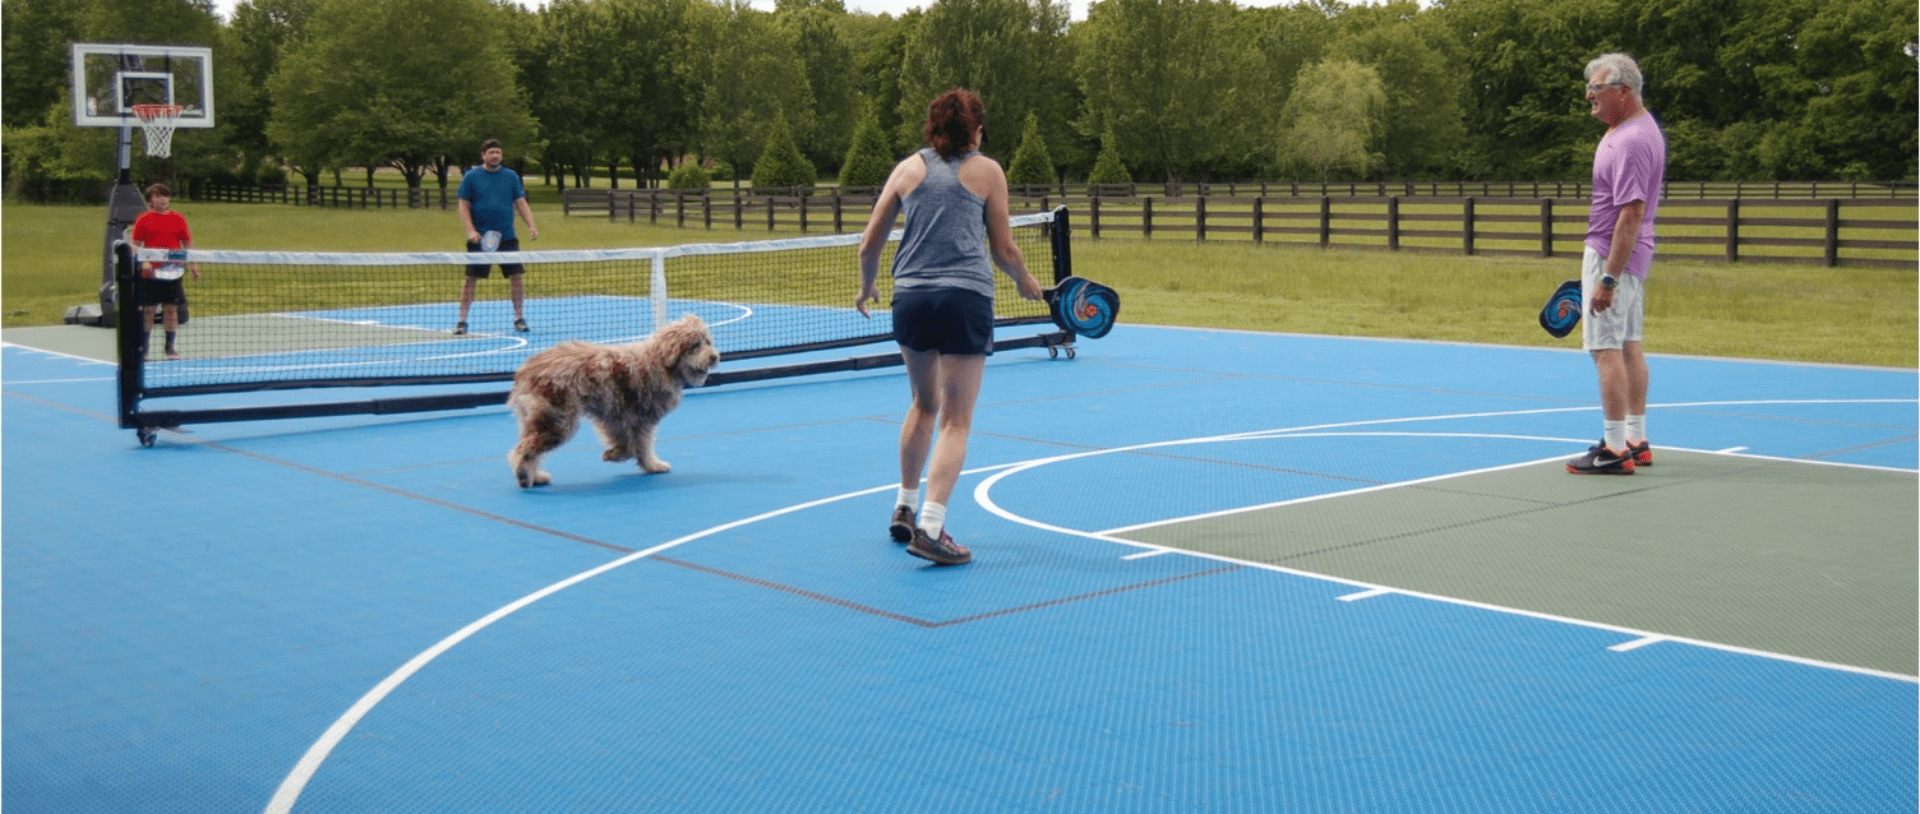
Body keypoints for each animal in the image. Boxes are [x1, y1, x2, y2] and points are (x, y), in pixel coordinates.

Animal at [510, 314, 721, 485]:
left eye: (708, 342)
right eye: (695, 345)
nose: (714, 357)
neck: (661, 361)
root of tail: (526, 371)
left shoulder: (615, 417)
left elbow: (629, 444)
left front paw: (617, 454)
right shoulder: (638, 418)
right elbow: (640, 446)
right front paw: (651, 465)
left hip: (539, 420)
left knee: (531, 447)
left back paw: (536, 476)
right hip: (557, 421)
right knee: (523, 450)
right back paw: (524, 474)